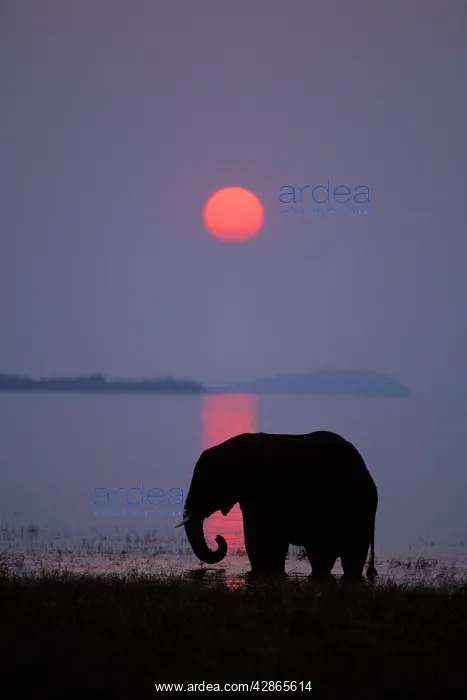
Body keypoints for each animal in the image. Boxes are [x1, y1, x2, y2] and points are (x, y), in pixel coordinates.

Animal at [176, 430, 378, 580]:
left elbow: (260, 535)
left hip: (358, 508)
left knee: (348, 556)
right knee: (323, 557)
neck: (232, 448)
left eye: (206, 483)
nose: (218, 538)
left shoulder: (265, 491)